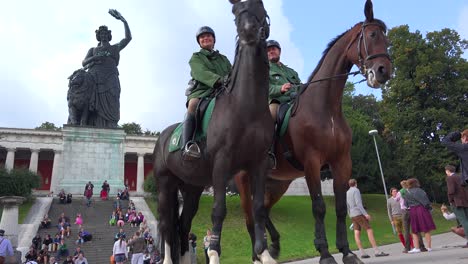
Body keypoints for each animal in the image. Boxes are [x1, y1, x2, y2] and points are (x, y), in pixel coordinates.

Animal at [154, 0, 278, 264]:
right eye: (235, 11)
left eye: (259, 5)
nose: (248, 31)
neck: (246, 106)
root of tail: (163, 137)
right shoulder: (222, 162)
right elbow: (219, 210)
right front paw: (213, 252)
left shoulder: (258, 164)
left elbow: (259, 209)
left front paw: (263, 252)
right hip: (165, 185)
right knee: (166, 224)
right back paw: (168, 258)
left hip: (191, 188)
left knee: (183, 224)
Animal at [236, 1, 394, 262]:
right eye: (372, 35)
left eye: (386, 38)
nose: (383, 71)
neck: (325, 108)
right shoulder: (312, 163)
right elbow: (319, 207)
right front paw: (325, 252)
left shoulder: (342, 162)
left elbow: (340, 207)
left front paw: (346, 251)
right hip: (245, 180)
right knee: (250, 217)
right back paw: (258, 253)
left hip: (277, 184)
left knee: (264, 210)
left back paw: (274, 245)